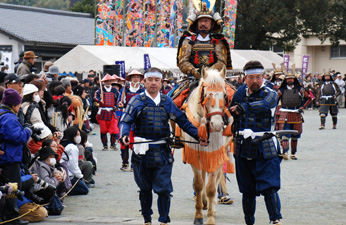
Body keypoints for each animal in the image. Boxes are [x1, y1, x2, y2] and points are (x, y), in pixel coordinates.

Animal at [178, 67, 235, 225]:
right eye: (205, 95)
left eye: (224, 95)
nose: (217, 125)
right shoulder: (194, 153)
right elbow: (198, 184)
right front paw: (198, 215)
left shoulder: (215, 153)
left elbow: (211, 188)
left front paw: (210, 217)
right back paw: (203, 202)